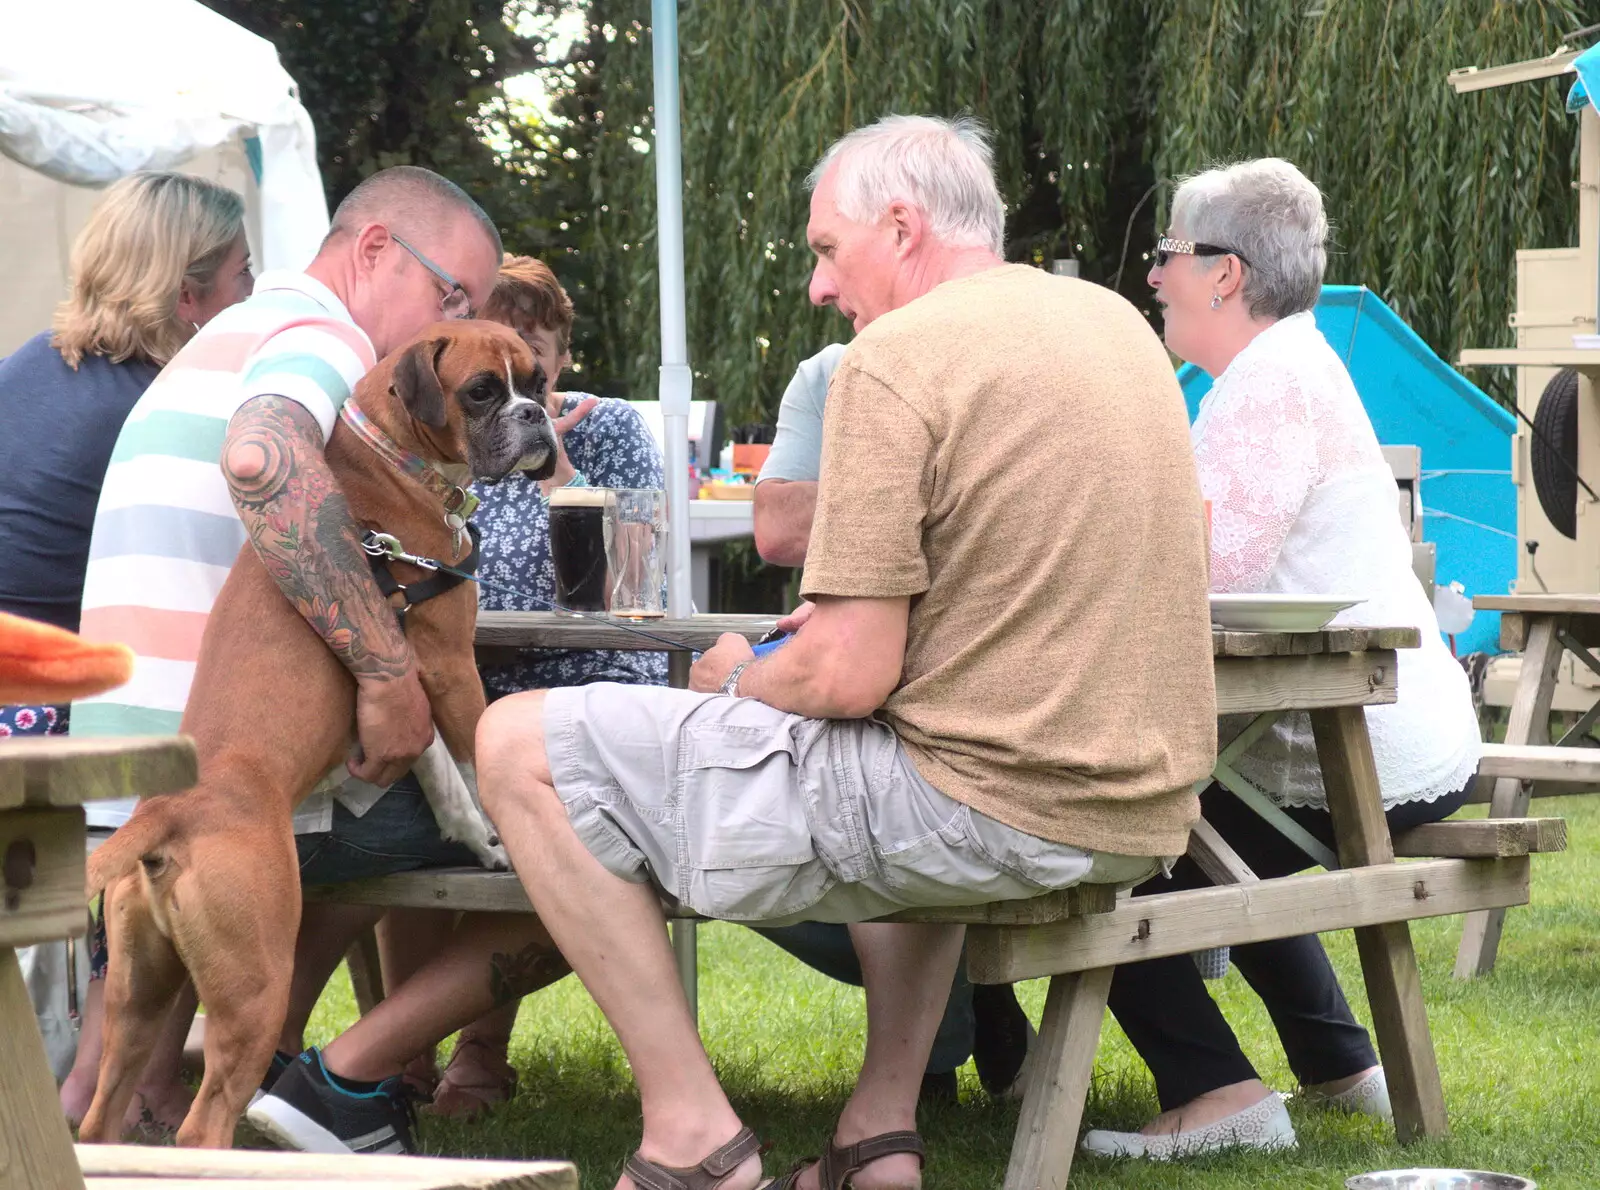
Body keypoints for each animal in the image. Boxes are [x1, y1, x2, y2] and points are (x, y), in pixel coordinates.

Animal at [81, 321, 560, 1145]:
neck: (393, 457)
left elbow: (439, 771)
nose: (535, 415)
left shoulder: (404, 684)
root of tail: (171, 812)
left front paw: (475, 837)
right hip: (254, 985)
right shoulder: (447, 664)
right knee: (202, 1125)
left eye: (536, 379)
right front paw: (500, 838)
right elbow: (474, 752)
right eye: (482, 391)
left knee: (102, 1117)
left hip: (136, 1001)